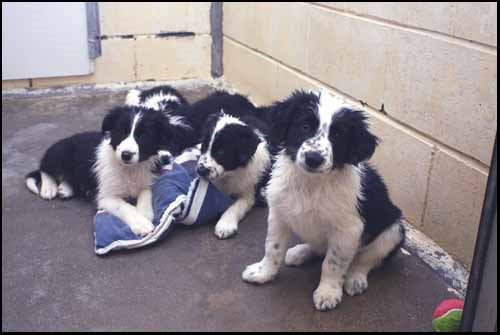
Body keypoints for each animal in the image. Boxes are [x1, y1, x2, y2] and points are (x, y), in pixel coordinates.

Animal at [25, 88, 194, 238]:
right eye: (121, 132)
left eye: (144, 135)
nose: (126, 155)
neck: (129, 169)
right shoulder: (106, 196)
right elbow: (124, 206)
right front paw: (141, 223)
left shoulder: (147, 180)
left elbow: (146, 193)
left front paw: (145, 213)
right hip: (59, 155)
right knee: (44, 168)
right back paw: (49, 188)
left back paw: (65, 189)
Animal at [188, 92, 274, 239]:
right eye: (204, 145)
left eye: (221, 152)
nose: (200, 170)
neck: (230, 174)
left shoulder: (248, 191)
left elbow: (235, 206)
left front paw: (225, 225)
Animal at [243, 89, 406, 312]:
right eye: (304, 126)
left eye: (338, 135)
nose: (313, 159)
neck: (311, 184)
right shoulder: (279, 214)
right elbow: (272, 247)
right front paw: (263, 273)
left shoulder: (347, 231)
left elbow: (333, 263)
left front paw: (328, 292)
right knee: (318, 246)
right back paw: (300, 252)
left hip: (393, 231)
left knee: (366, 259)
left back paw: (355, 278)